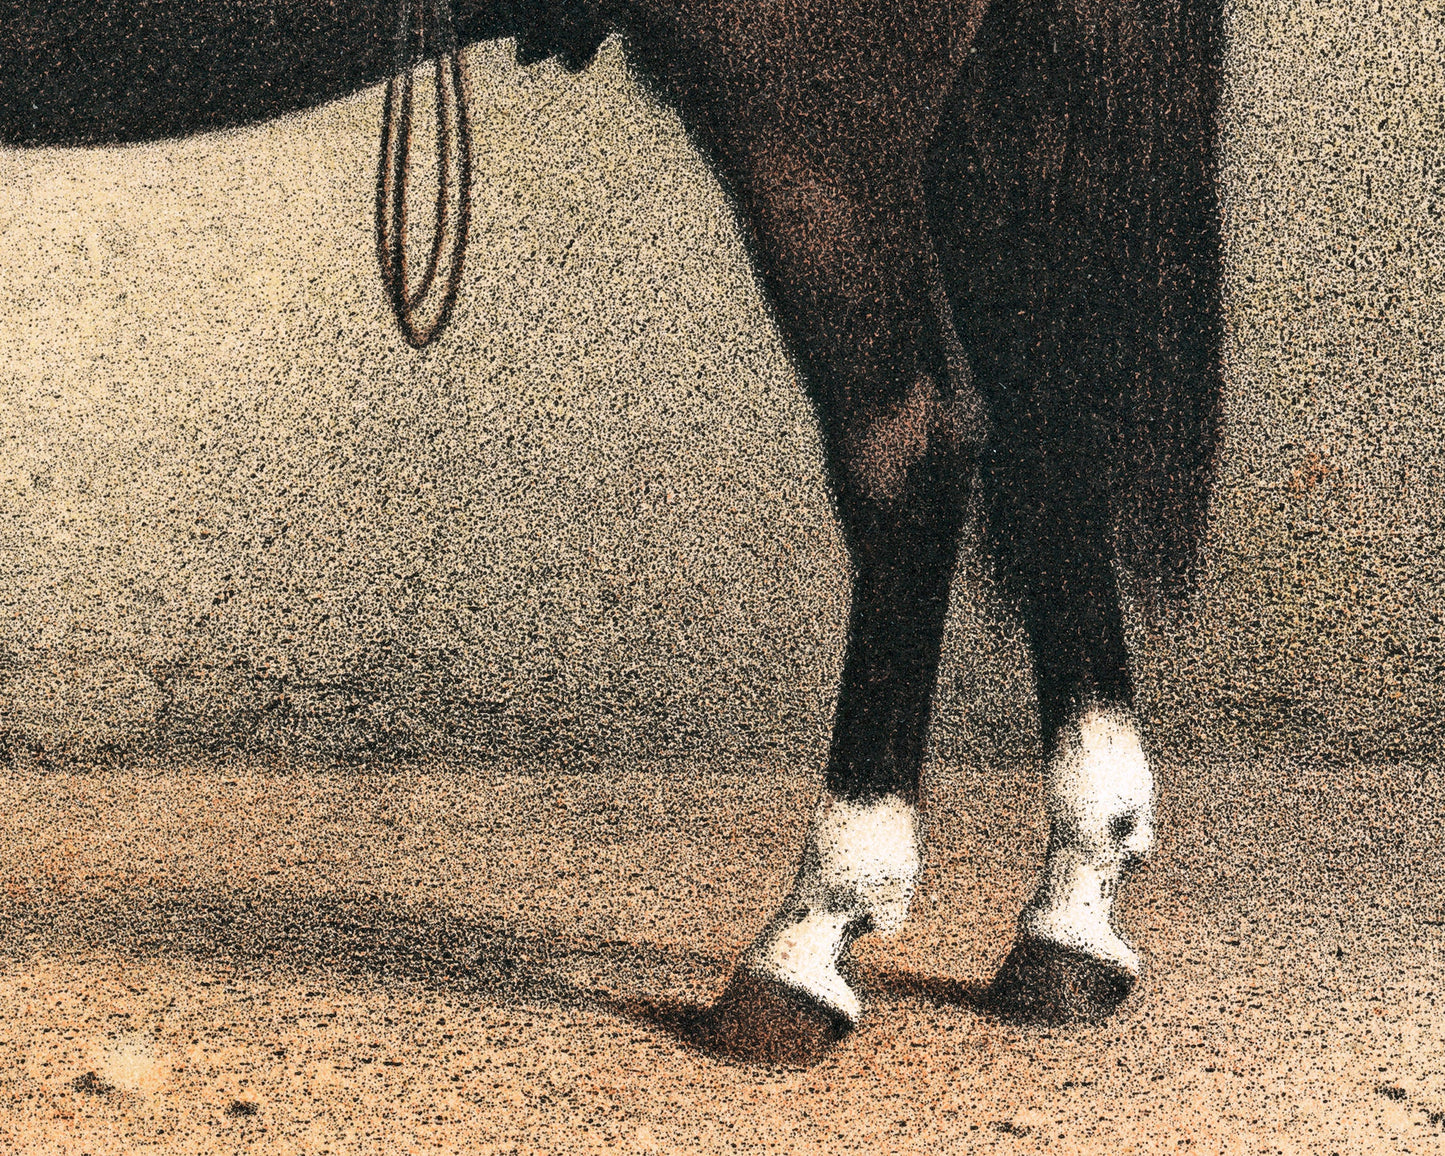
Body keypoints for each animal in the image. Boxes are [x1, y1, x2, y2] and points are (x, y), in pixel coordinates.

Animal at [2, 0, 1223, 1059]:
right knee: (1047, 431)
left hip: (815, 118)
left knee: (909, 447)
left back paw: (808, 937)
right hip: (985, 116)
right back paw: (1070, 916)